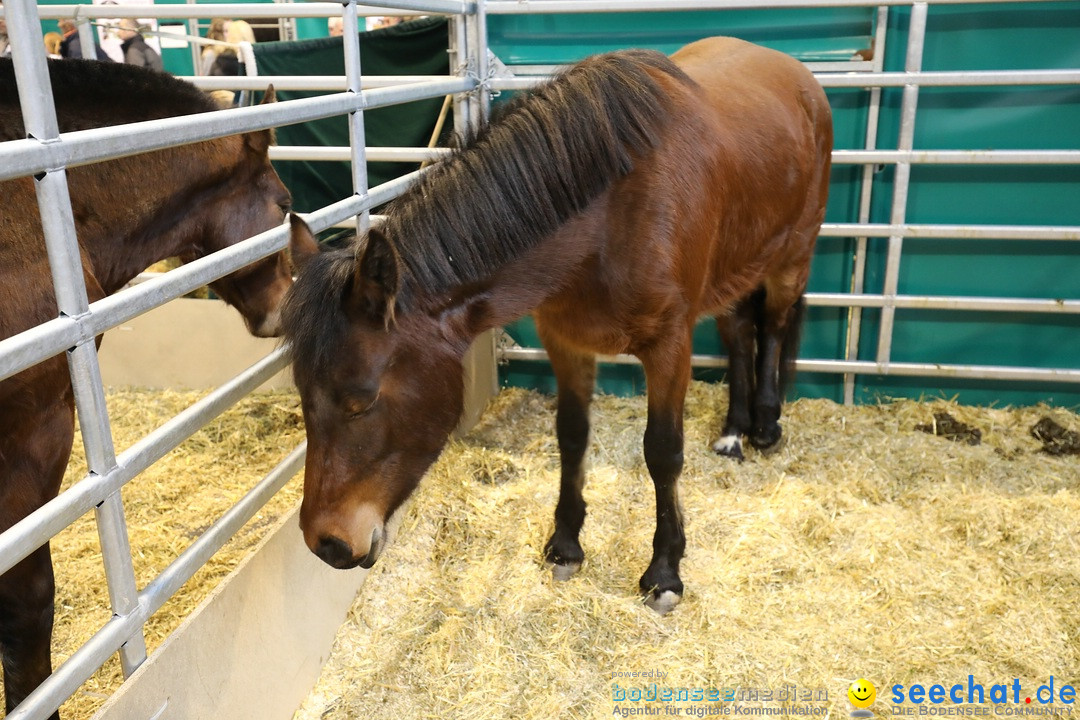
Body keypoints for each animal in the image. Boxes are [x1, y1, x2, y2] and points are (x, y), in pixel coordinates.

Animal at [282, 35, 829, 613]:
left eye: (361, 402)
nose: (326, 542)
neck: (609, 216)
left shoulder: (670, 346)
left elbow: (662, 451)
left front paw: (664, 571)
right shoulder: (565, 342)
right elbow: (571, 436)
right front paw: (565, 544)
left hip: (793, 256)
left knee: (772, 327)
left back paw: (764, 426)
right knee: (739, 334)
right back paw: (731, 433)